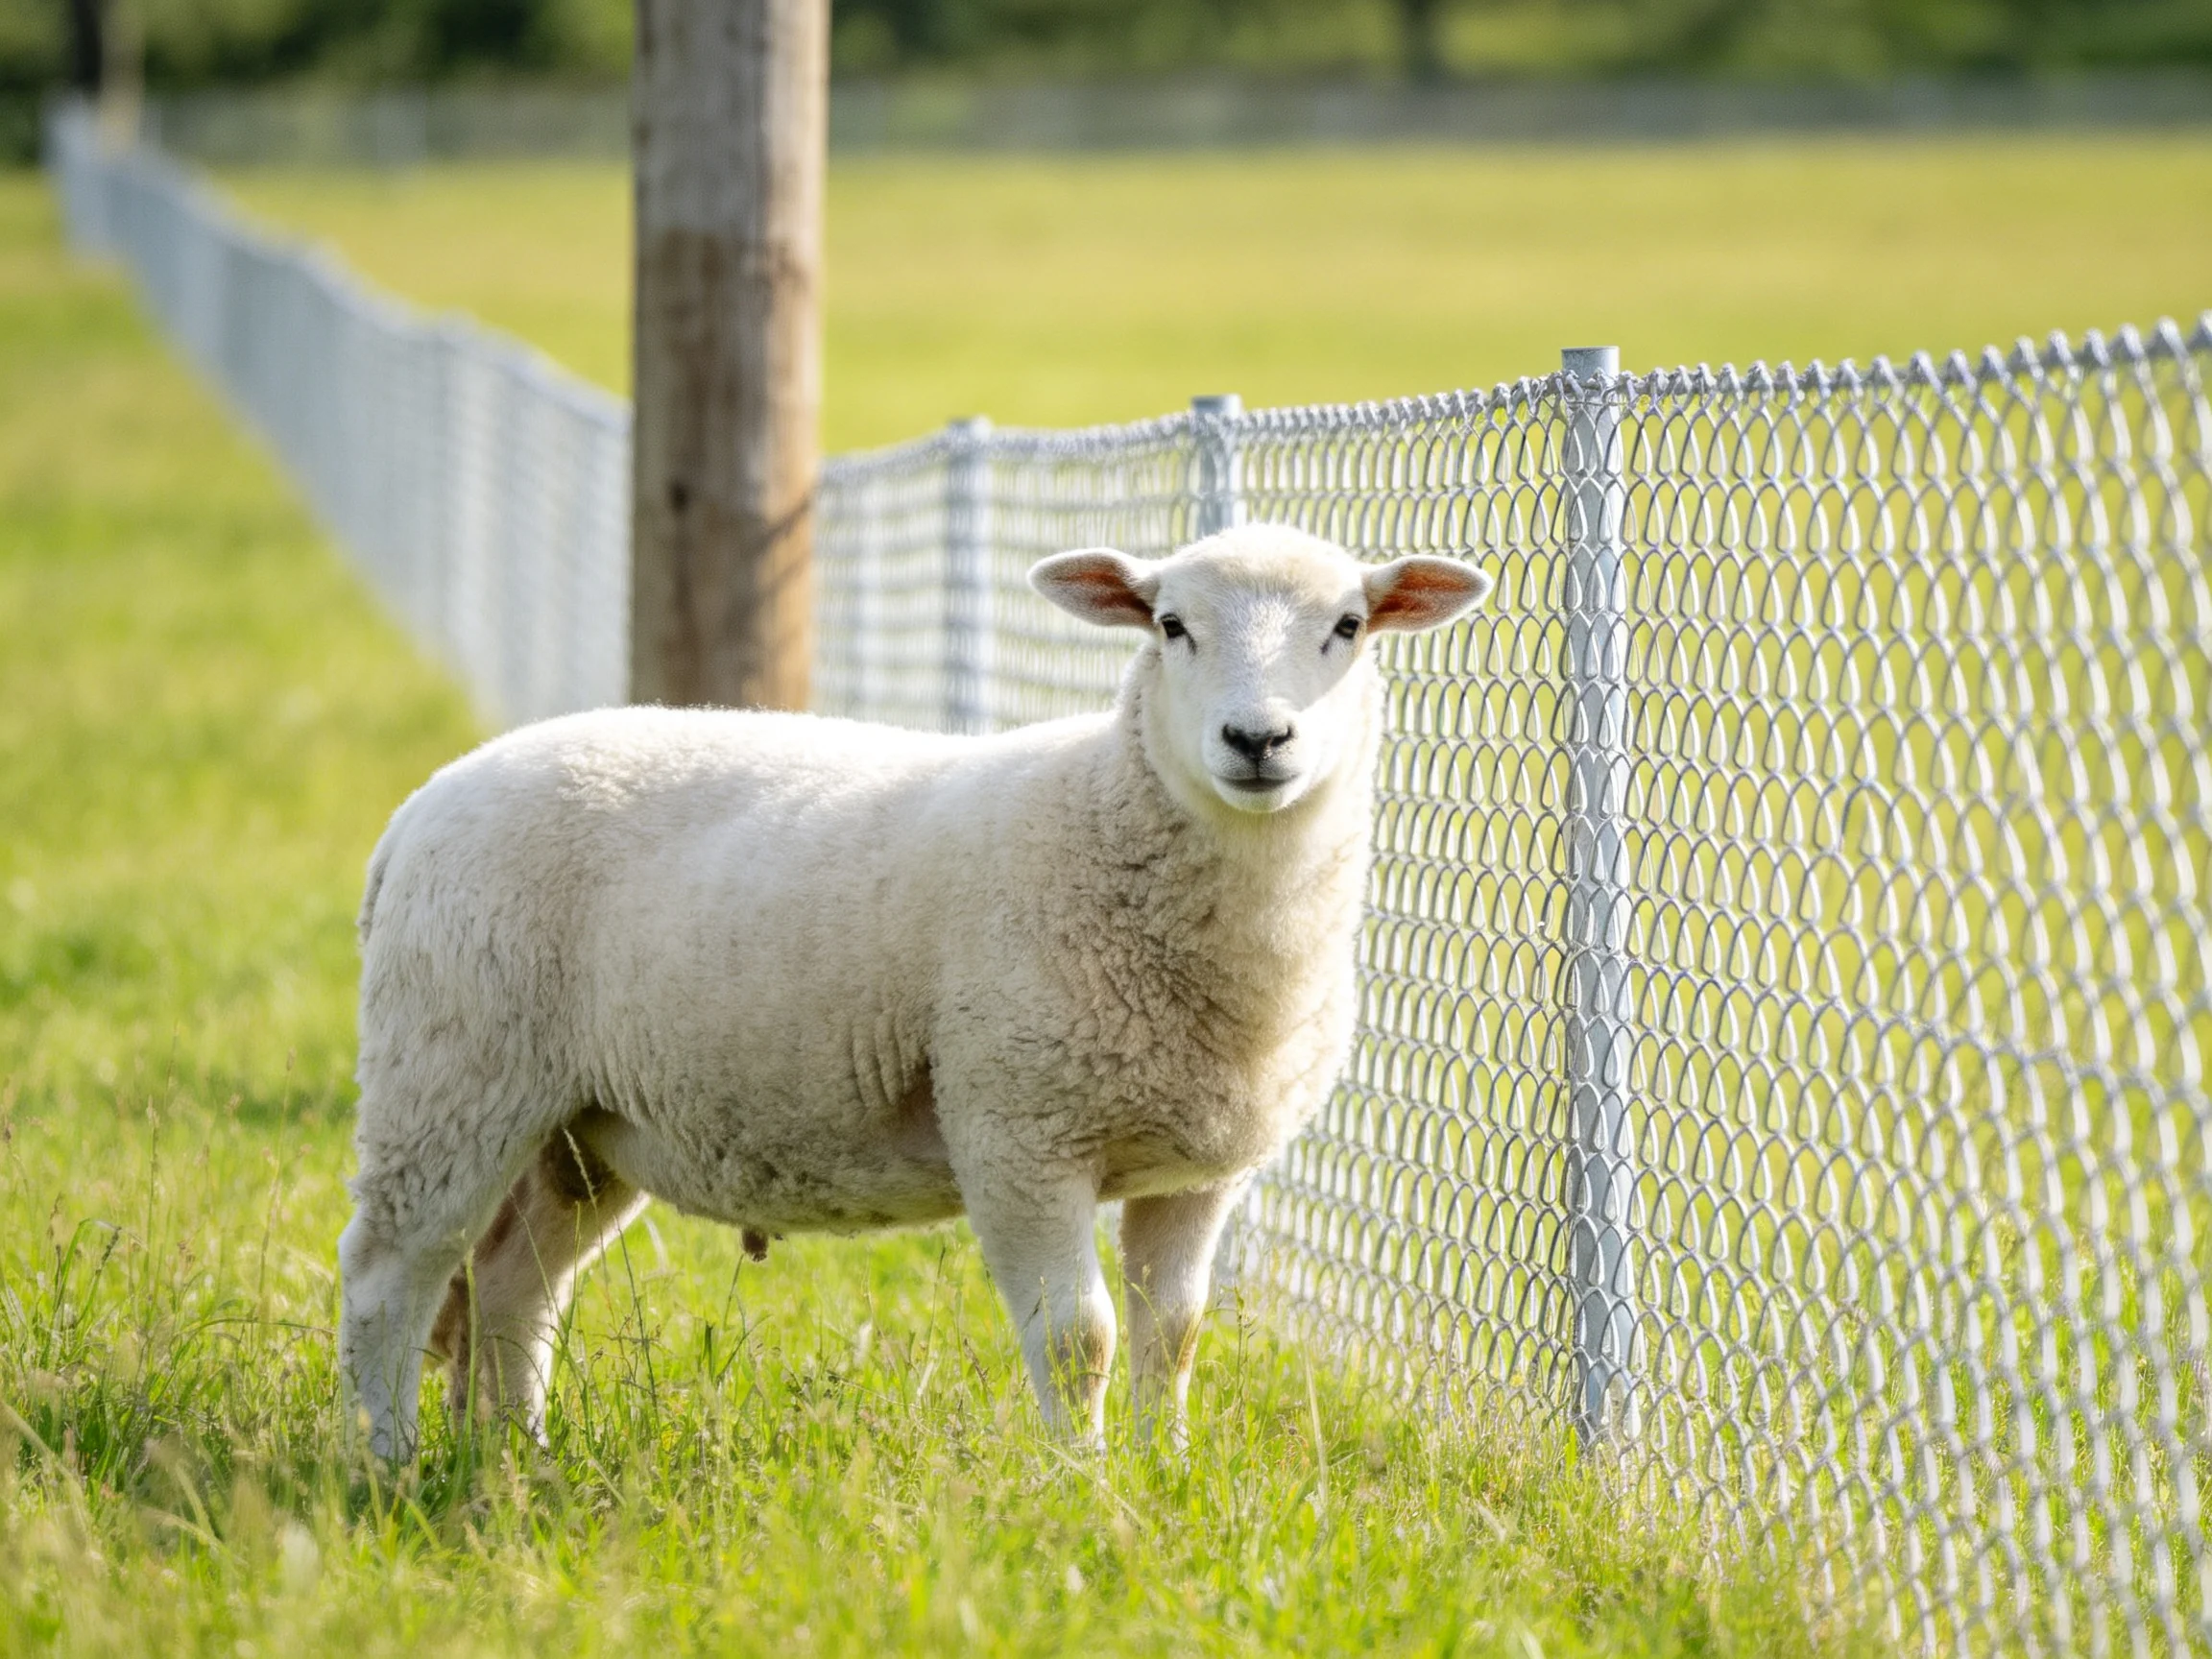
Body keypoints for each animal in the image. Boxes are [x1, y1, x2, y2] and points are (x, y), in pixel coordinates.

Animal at [338, 523, 1492, 1459]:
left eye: (1348, 625)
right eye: (1170, 625)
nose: (1257, 741)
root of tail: (419, 810)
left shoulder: (1199, 1172)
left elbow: (1173, 1334)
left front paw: (1163, 1474)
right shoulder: (1017, 1129)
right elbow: (1079, 1339)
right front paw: (1084, 1487)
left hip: (580, 1125)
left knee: (511, 1283)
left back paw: (514, 1454)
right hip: (451, 1069)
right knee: (393, 1269)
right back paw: (391, 1460)